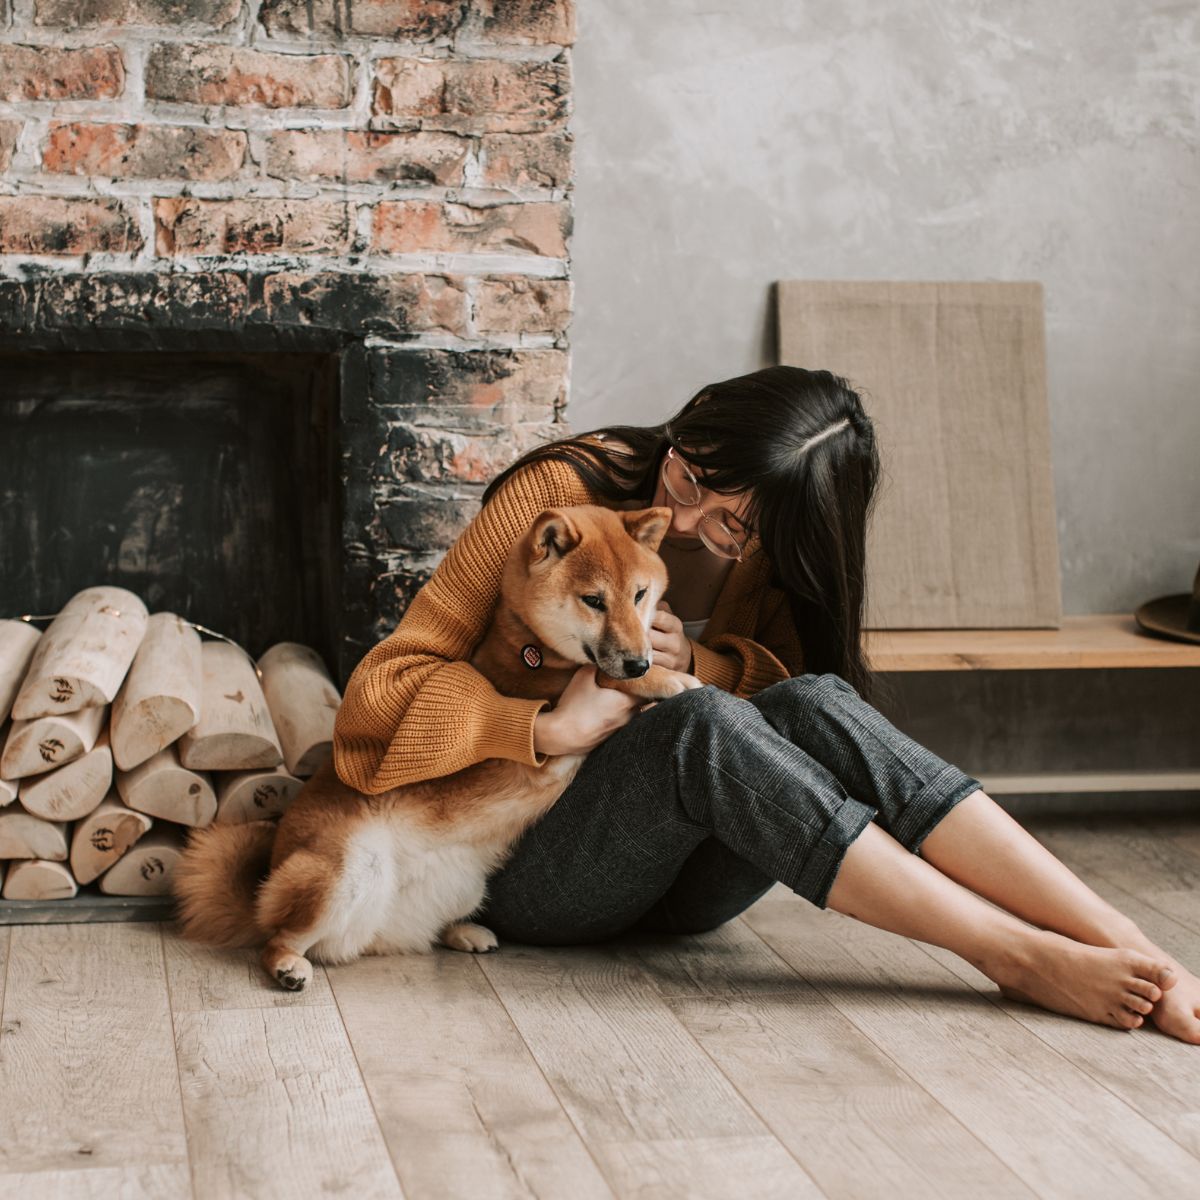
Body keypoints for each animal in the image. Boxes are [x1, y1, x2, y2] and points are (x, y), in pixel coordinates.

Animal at [174, 501, 700, 988]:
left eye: (639, 594)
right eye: (593, 600)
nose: (637, 661)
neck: (532, 647)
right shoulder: (554, 710)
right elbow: (604, 679)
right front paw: (668, 679)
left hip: (459, 886)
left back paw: (463, 932)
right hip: (343, 872)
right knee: (276, 937)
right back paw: (286, 965)